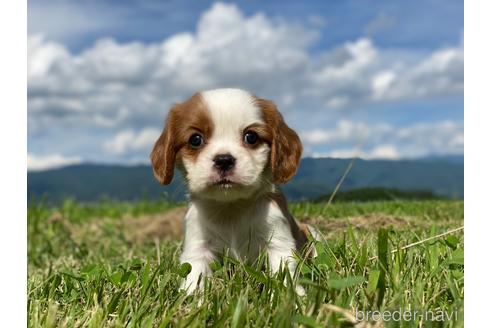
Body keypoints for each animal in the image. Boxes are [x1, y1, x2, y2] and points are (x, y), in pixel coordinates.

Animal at [151, 88, 320, 294]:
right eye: (195, 140)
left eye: (251, 137)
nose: (224, 160)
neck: (231, 206)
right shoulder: (198, 245)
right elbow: (194, 274)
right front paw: (190, 298)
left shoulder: (278, 240)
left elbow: (284, 272)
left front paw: (292, 296)